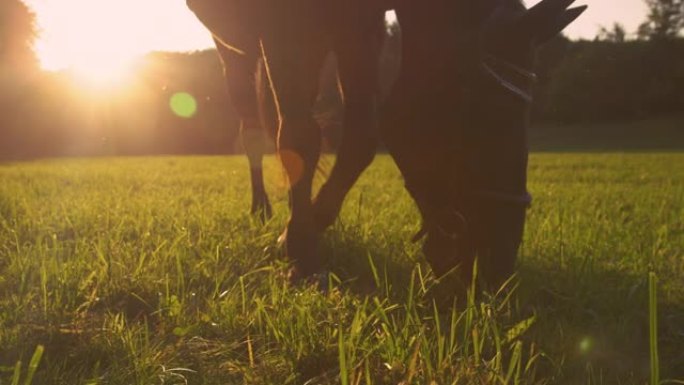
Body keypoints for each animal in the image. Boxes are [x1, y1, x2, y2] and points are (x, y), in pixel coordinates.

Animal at [186, 0, 390, 278]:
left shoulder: (363, 25)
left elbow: (360, 137)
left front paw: (306, 226)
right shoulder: (285, 24)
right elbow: (299, 135)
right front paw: (299, 245)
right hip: (238, 54)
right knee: (253, 131)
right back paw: (262, 210)